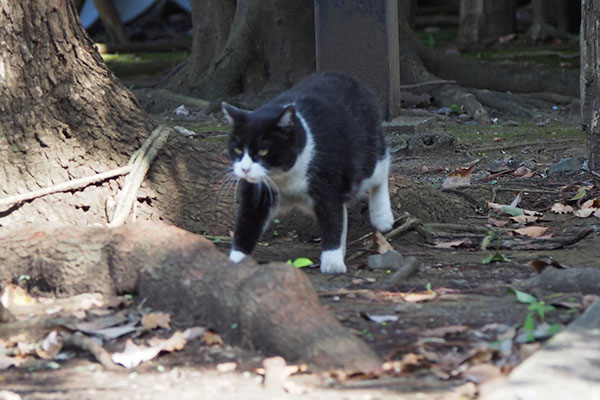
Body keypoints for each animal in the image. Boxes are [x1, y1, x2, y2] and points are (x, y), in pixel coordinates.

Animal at [220, 72, 394, 274]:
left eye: (263, 151)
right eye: (238, 150)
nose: (245, 169)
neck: (285, 177)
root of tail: (348, 77)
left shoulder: (327, 179)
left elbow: (331, 216)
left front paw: (332, 262)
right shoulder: (258, 191)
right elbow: (247, 222)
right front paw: (235, 263)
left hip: (367, 154)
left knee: (381, 168)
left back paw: (382, 217)